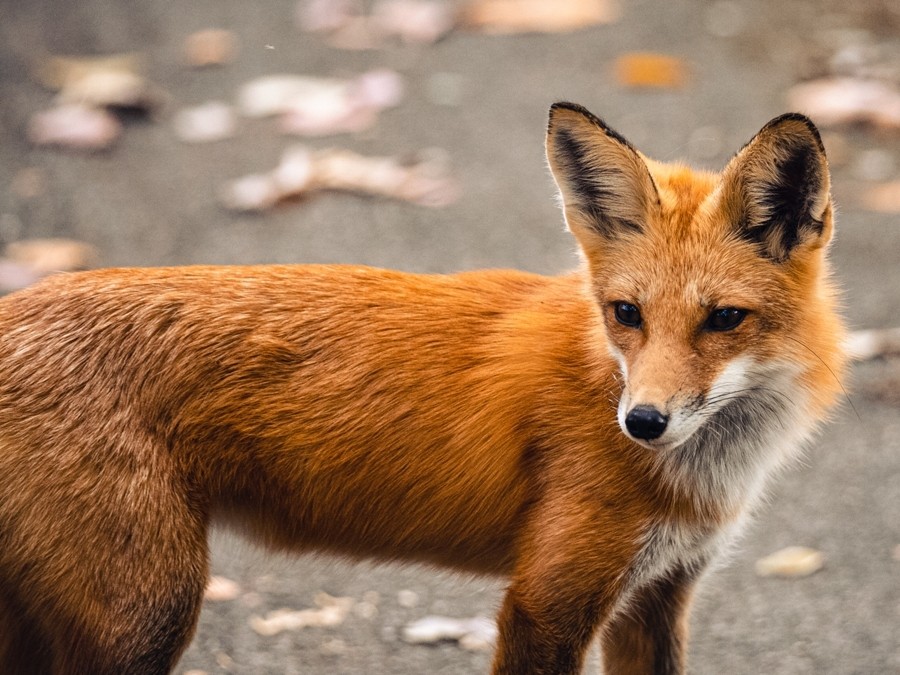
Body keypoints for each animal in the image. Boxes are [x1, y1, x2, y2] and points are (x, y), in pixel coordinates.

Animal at [0, 101, 848, 675]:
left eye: (724, 318)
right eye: (626, 313)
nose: (641, 420)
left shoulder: (656, 595)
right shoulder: (546, 601)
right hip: (148, 612)